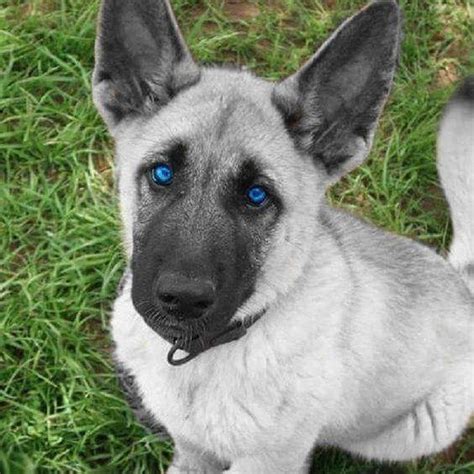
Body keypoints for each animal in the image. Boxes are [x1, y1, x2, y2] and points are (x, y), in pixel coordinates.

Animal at [90, 0, 472, 472]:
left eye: (257, 196)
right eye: (162, 173)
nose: (182, 299)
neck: (205, 352)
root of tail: (464, 285)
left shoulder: (266, 461)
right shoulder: (192, 449)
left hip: (412, 430)